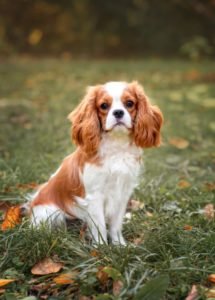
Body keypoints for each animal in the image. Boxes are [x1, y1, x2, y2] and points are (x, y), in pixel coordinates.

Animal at [24, 81, 163, 245]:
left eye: (129, 103)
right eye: (104, 106)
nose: (118, 112)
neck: (116, 146)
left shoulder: (122, 194)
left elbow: (116, 225)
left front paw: (119, 245)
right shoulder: (95, 196)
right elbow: (100, 226)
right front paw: (101, 247)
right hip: (52, 213)